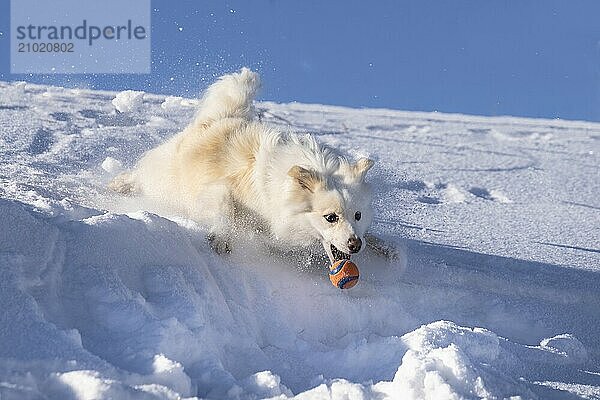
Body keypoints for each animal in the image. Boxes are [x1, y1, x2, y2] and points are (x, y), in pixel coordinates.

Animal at [109, 69, 376, 262]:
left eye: (358, 215)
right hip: (166, 178)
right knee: (141, 174)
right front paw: (221, 239)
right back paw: (118, 185)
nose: (356, 245)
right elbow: (225, 205)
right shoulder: (217, 189)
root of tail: (220, 118)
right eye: (331, 217)